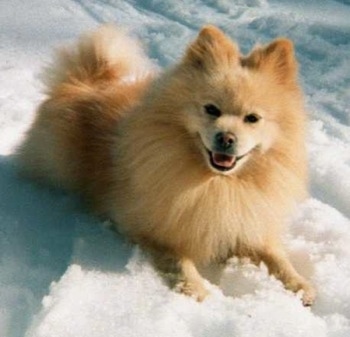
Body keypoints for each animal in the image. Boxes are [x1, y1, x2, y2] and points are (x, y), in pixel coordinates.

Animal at [16, 24, 316, 304]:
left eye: (252, 118)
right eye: (211, 109)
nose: (226, 138)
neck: (215, 183)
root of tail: (85, 81)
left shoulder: (246, 226)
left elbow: (276, 257)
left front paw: (299, 284)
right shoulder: (151, 230)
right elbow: (177, 258)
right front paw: (194, 287)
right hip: (60, 164)